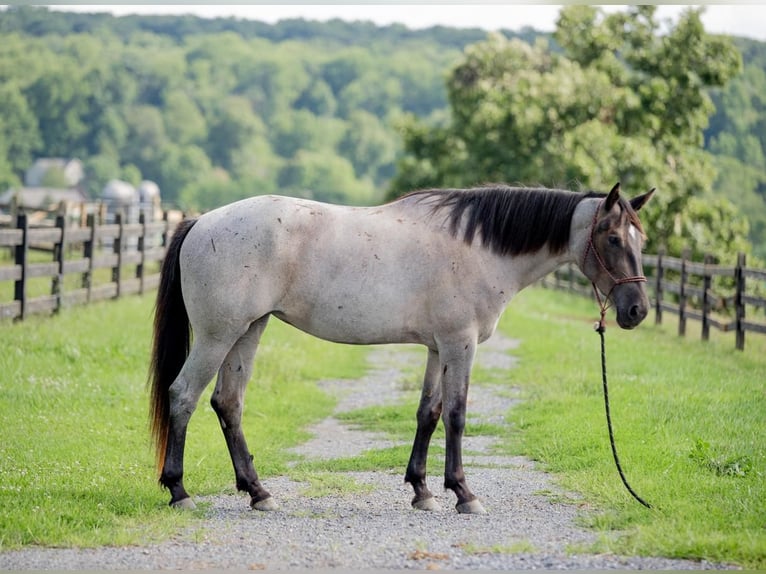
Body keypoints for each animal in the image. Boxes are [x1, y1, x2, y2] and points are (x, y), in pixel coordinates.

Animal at [148, 182, 656, 516]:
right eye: (613, 238)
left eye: (641, 239)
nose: (637, 311)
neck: (477, 247)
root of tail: (202, 221)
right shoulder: (460, 344)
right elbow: (457, 415)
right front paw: (464, 494)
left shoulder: (437, 348)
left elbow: (428, 413)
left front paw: (422, 491)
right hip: (218, 335)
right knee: (184, 396)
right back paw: (179, 492)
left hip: (248, 331)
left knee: (227, 403)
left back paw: (258, 492)